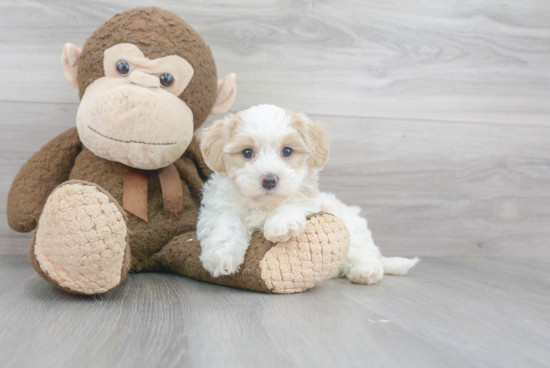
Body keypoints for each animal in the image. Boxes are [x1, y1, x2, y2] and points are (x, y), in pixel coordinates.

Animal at [198, 105, 418, 284]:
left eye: (287, 151)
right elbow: (226, 223)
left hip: (355, 233)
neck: (265, 204)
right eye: (247, 153)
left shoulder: (308, 199)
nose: (269, 180)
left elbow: (294, 202)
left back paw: (366, 272)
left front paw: (281, 223)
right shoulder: (220, 205)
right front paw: (221, 255)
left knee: (363, 254)